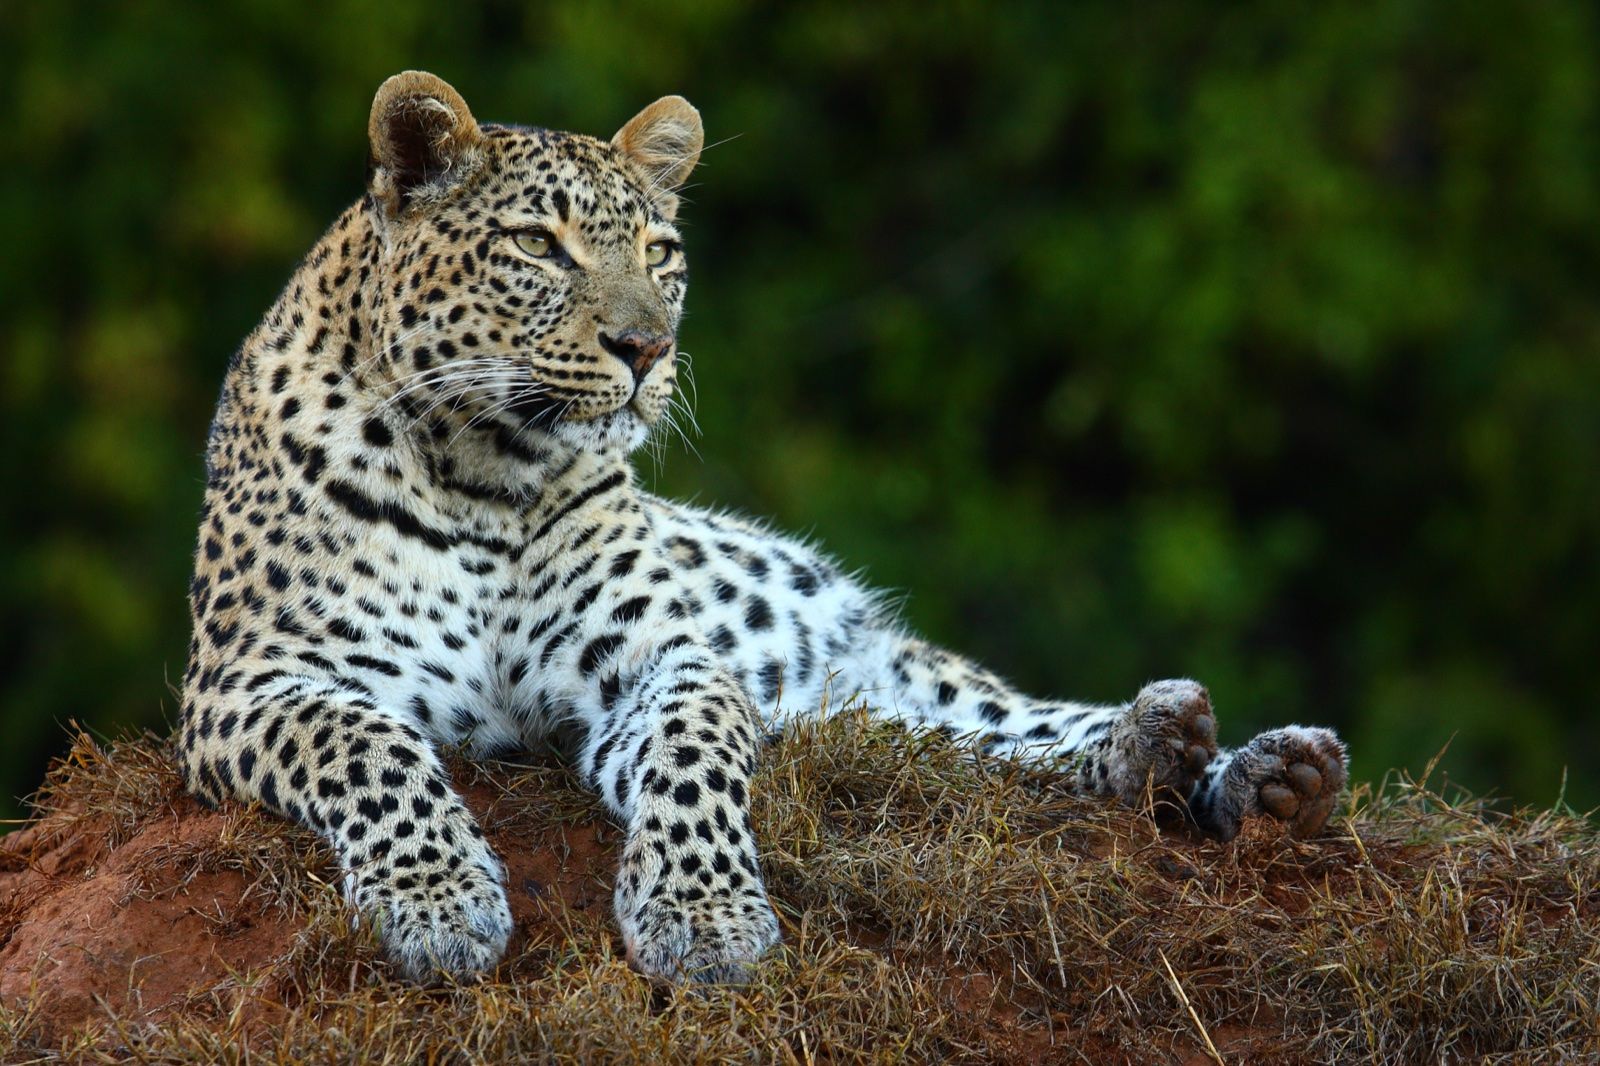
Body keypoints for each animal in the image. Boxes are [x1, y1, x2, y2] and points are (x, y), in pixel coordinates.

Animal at [178, 70, 1349, 985]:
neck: (485, 477)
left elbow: (694, 762)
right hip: (870, 721)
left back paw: (1242, 767)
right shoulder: (246, 684)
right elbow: (368, 746)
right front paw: (436, 902)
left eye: (660, 252)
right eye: (539, 245)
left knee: (1027, 730)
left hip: (920, 692)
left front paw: (704, 918)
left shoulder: (666, 658)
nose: (645, 347)